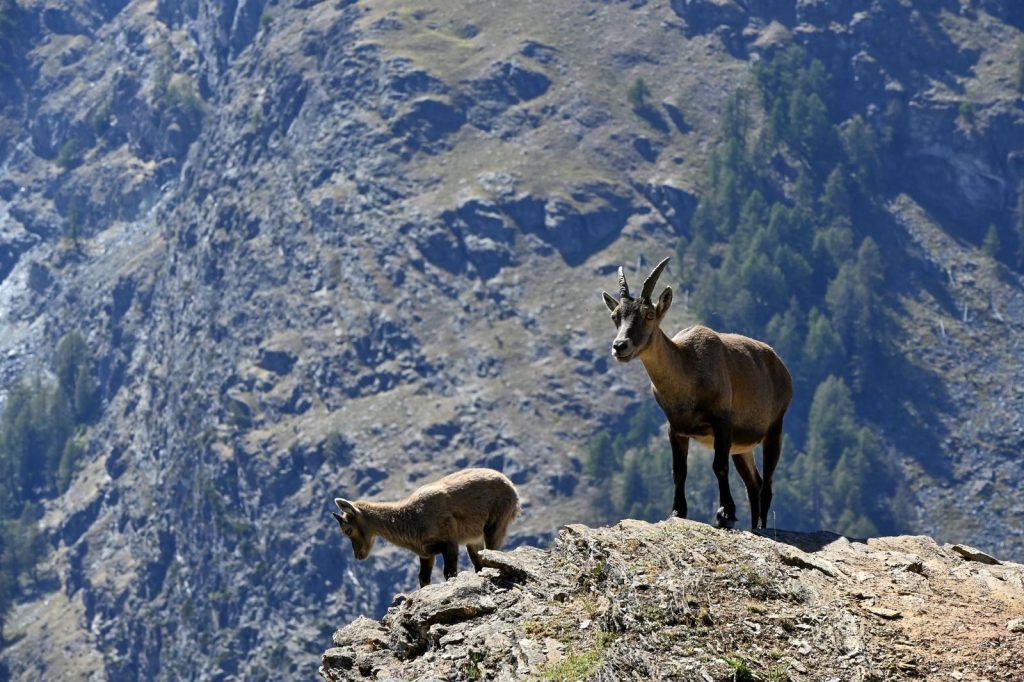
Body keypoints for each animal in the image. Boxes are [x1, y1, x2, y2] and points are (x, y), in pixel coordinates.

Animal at [332, 468, 520, 587]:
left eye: (348, 530)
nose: (358, 555)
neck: (412, 517)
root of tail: (512, 487)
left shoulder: (449, 542)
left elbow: (449, 572)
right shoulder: (426, 553)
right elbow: (423, 579)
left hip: (496, 522)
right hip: (474, 539)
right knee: (479, 562)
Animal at [602, 257, 792, 529]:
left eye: (649, 315)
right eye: (615, 315)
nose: (620, 346)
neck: (688, 369)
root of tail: (781, 366)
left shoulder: (722, 421)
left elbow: (719, 466)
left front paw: (725, 513)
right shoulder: (676, 428)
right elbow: (678, 470)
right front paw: (677, 511)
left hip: (775, 427)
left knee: (767, 485)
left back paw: (762, 527)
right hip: (742, 446)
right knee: (753, 484)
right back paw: (753, 525)